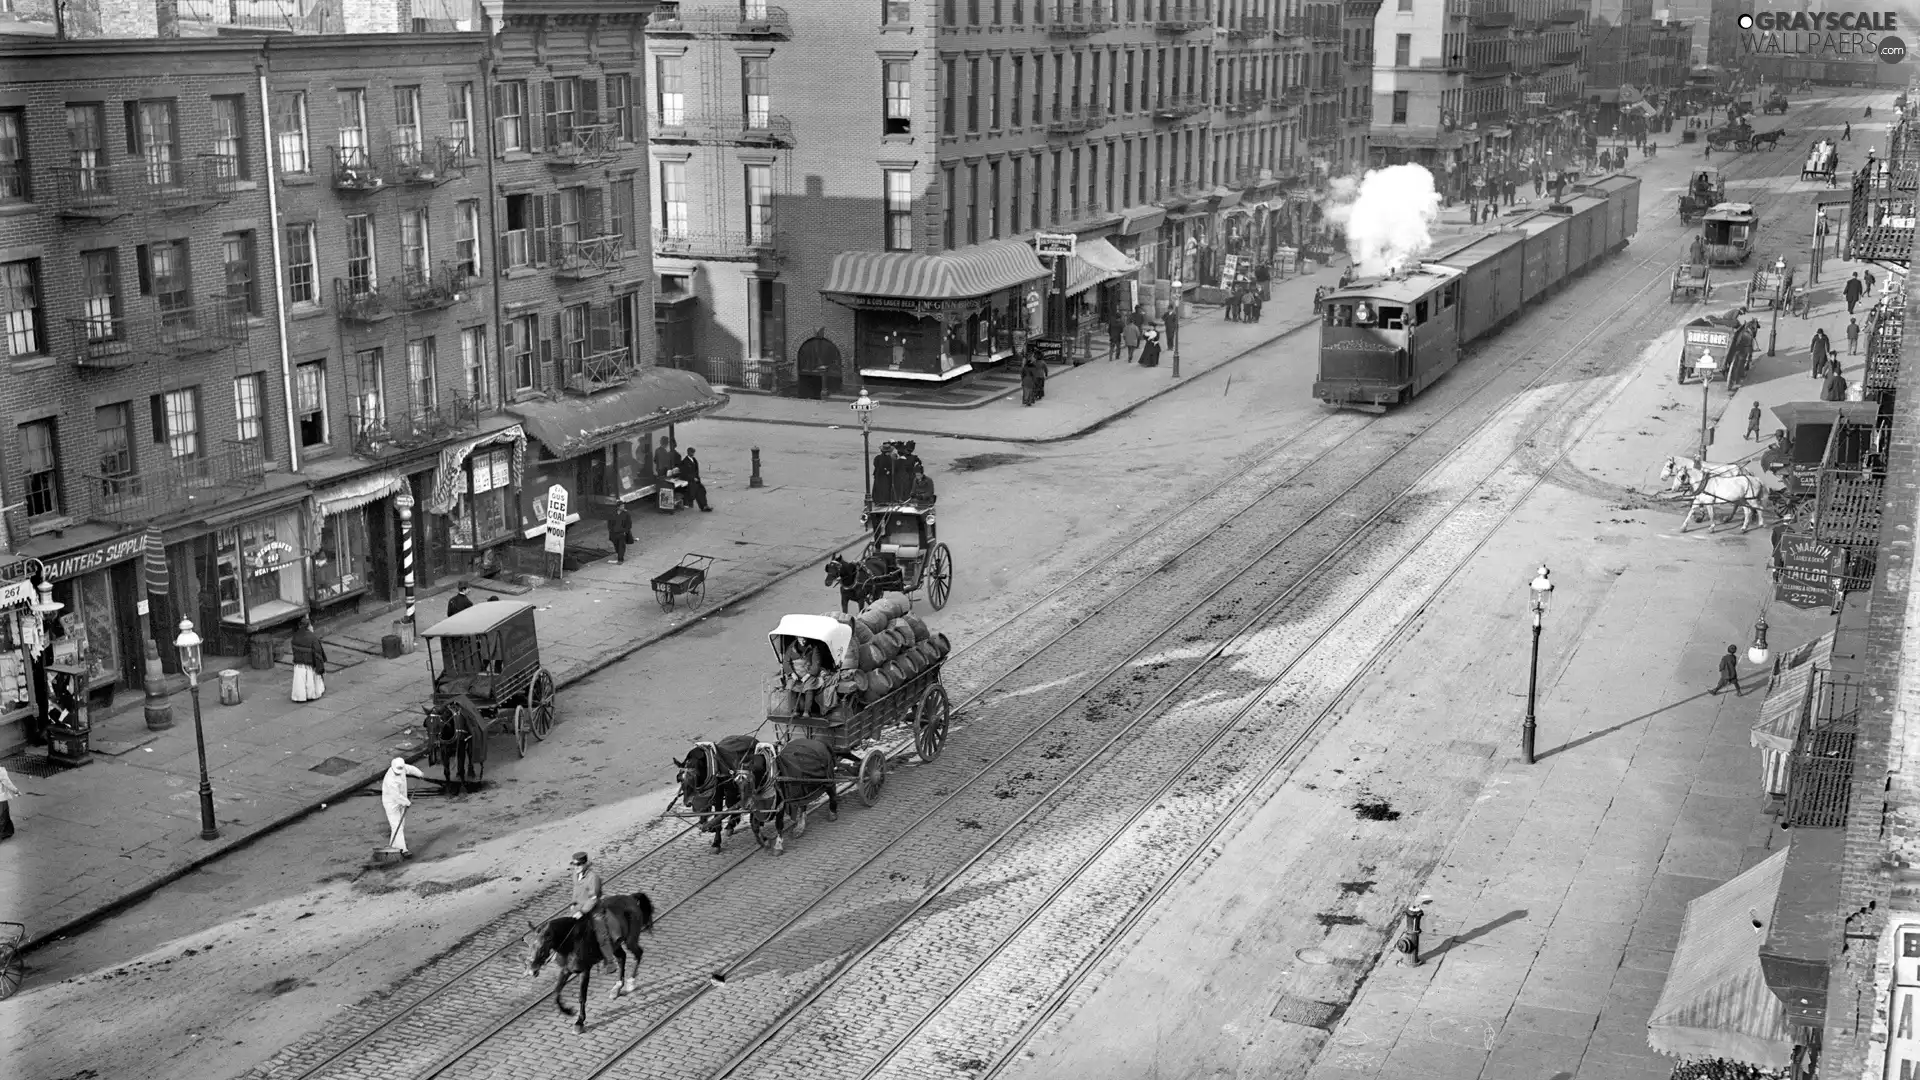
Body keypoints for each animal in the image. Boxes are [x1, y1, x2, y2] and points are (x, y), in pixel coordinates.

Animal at [526, 887, 660, 1030]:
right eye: (530, 947)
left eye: (541, 949)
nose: (532, 971)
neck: (571, 941)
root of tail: (631, 898)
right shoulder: (566, 970)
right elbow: (556, 993)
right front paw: (568, 1011)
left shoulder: (585, 970)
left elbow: (582, 996)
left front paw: (579, 1022)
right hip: (615, 946)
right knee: (622, 958)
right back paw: (617, 988)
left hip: (630, 940)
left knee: (638, 954)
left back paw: (631, 983)